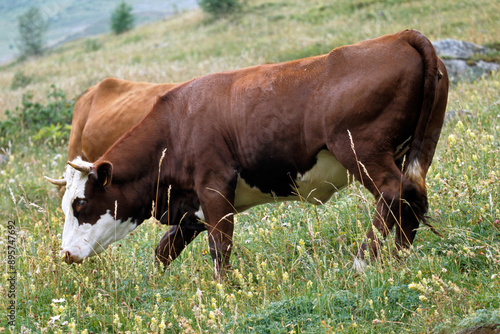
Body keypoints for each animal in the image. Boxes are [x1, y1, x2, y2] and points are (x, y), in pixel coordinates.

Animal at [47, 30, 450, 278]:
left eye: (80, 203)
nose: (65, 254)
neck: (176, 124)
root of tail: (399, 36)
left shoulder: (214, 189)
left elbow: (220, 248)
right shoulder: (191, 207)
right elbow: (164, 250)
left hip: (363, 151)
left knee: (393, 192)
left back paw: (363, 262)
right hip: (416, 150)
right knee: (413, 196)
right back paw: (400, 258)